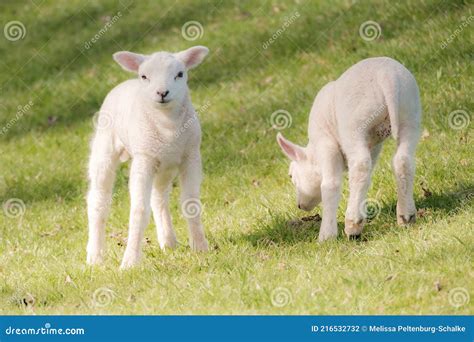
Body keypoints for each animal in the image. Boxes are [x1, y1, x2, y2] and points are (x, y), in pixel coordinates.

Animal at [85, 46, 211, 270]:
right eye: (144, 76)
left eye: (180, 74)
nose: (162, 93)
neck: (167, 124)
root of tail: (125, 82)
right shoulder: (143, 159)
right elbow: (139, 211)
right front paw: (130, 262)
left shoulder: (191, 156)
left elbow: (190, 203)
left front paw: (200, 247)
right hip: (105, 148)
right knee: (98, 200)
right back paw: (95, 256)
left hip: (165, 165)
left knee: (158, 197)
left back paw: (168, 242)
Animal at [278, 56, 422, 240]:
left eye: (291, 176)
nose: (300, 206)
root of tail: (387, 76)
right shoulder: (373, 147)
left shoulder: (326, 143)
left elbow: (330, 184)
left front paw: (326, 236)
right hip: (410, 112)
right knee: (402, 161)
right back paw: (406, 216)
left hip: (355, 124)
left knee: (360, 165)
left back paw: (352, 225)